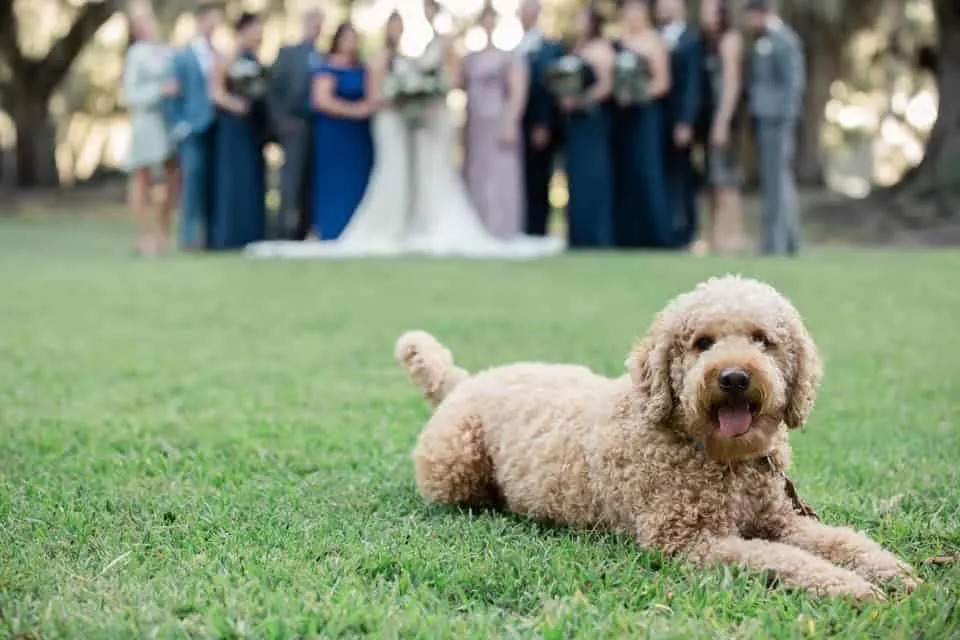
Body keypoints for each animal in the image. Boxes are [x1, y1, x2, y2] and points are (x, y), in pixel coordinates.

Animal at [394, 276, 920, 600]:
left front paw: (890, 571)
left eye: (762, 339)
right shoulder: (689, 541)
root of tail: (465, 381)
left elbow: (840, 540)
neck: (719, 456)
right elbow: (782, 560)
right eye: (702, 342)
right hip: (456, 466)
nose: (733, 377)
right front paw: (850, 588)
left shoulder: (782, 519)